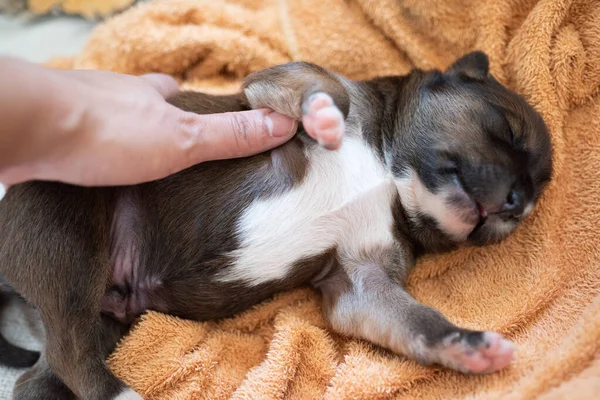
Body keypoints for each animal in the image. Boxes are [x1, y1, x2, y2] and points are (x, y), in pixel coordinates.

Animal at [0, 51, 552, 398]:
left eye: (536, 193)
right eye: (507, 131)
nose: (517, 203)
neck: (388, 173)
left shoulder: (364, 284)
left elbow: (419, 321)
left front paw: (468, 348)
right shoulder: (273, 81)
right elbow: (327, 87)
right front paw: (325, 116)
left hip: (103, 315)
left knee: (48, 371)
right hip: (68, 243)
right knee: (71, 354)